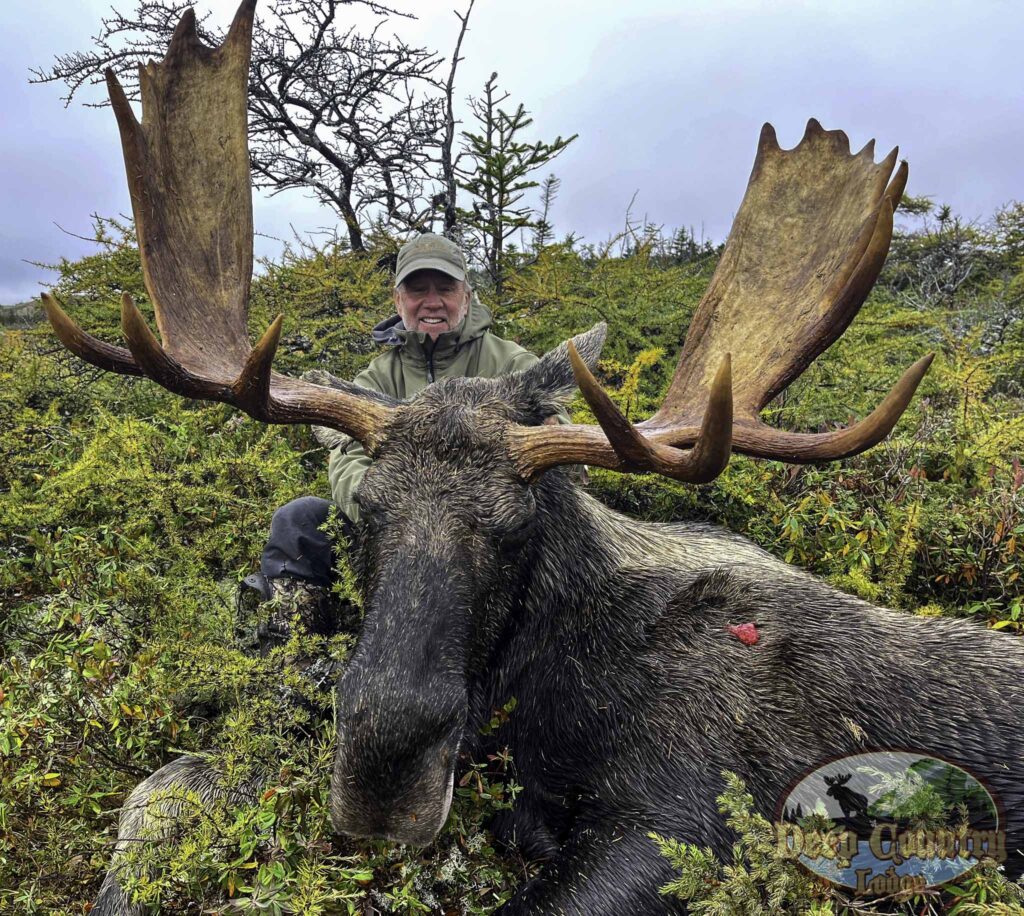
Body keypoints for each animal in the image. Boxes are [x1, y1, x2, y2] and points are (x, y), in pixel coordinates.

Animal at [42, 2, 1024, 913]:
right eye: (365, 515)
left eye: (516, 531)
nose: (382, 777)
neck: (552, 681)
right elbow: (170, 779)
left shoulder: (690, 819)